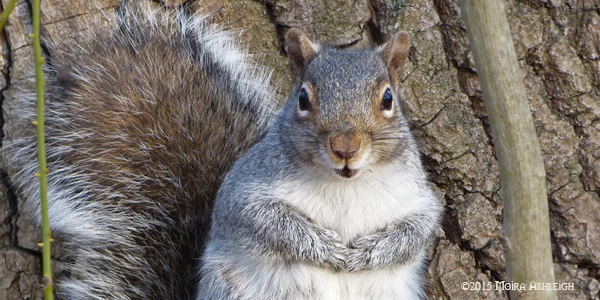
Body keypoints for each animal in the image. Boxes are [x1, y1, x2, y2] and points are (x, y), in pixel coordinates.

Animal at [1, 2, 440, 300]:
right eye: (302, 98)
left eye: (388, 98)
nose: (345, 149)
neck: (346, 184)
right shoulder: (244, 191)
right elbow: (266, 221)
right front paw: (327, 248)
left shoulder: (417, 195)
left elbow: (419, 228)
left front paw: (370, 253)